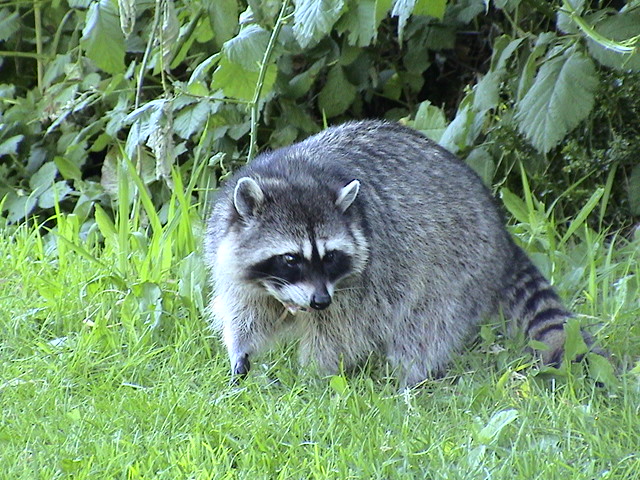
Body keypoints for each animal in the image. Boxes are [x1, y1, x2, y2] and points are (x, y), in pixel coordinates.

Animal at [205, 120, 592, 386]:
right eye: (290, 259)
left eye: (330, 256)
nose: (320, 301)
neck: (293, 174)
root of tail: (501, 232)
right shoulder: (229, 252)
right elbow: (246, 310)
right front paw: (240, 352)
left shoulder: (361, 280)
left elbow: (339, 333)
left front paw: (314, 374)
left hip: (456, 264)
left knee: (425, 324)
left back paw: (410, 378)